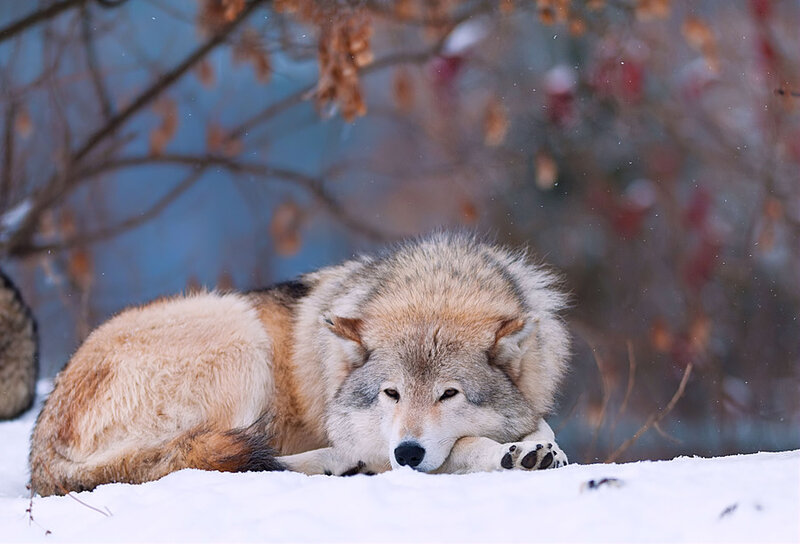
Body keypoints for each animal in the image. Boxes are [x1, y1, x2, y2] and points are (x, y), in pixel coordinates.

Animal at [30, 233, 570, 496]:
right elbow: (462, 447)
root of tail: (40, 447)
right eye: (390, 394)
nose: (407, 452)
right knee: (219, 460)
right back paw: (340, 465)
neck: (436, 286)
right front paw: (510, 455)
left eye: (449, 394)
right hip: (240, 337)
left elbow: (540, 424)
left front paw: (538, 448)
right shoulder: (377, 438)